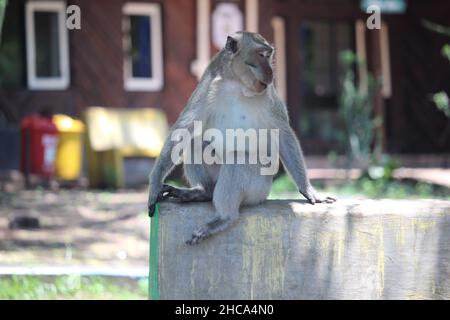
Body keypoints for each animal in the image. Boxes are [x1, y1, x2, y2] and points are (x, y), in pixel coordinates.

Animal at [146, 31, 336, 245]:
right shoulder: (208, 84)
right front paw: (155, 184)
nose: (270, 71)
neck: (236, 84)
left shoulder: (268, 96)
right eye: (261, 55)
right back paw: (205, 192)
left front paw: (308, 190)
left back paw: (224, 217)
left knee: (237, 160)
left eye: (269, 55)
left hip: (259, 188)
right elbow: (183, 129)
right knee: (196, 143)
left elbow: (283, 135)